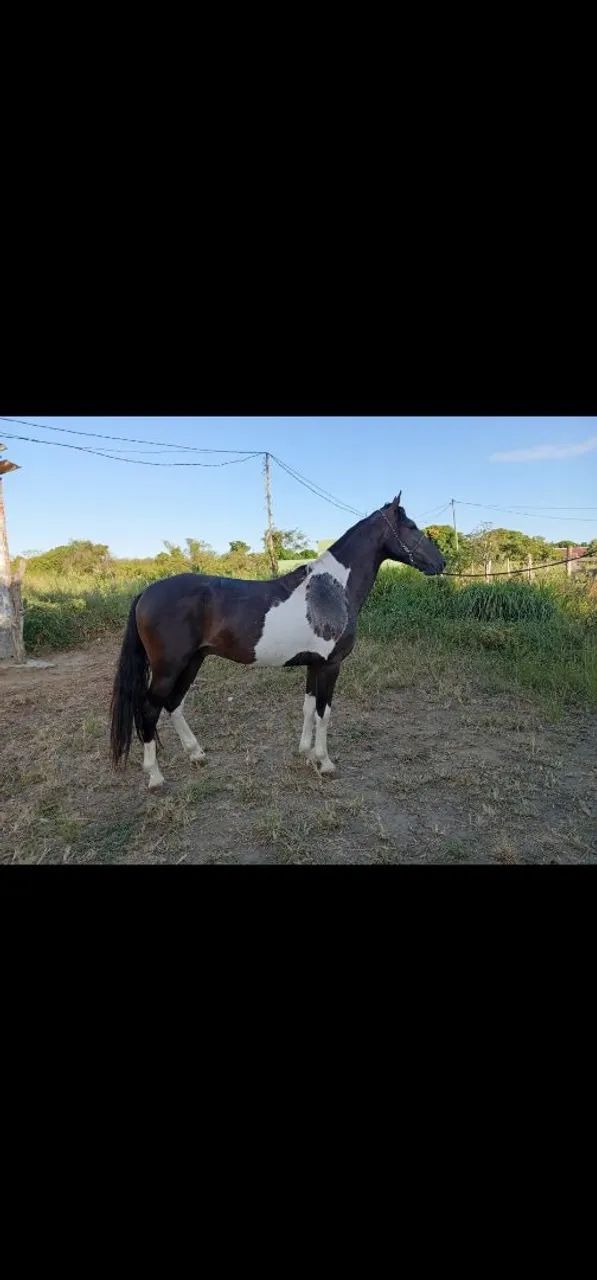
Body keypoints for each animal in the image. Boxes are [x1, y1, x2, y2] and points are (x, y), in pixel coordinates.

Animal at [110, 494, 445, 790]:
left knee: (173, 703)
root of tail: (146, 592)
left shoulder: (313, 665)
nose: (441, 562)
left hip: (193, 661)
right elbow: (324, 712)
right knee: (149, 710)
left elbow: (308, 708)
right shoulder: (330, 665)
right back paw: (155, 777)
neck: (331, 589)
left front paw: (306, 753)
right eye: (411, 526)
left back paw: (196, 755)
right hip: (169, 668)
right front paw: (325, 763)